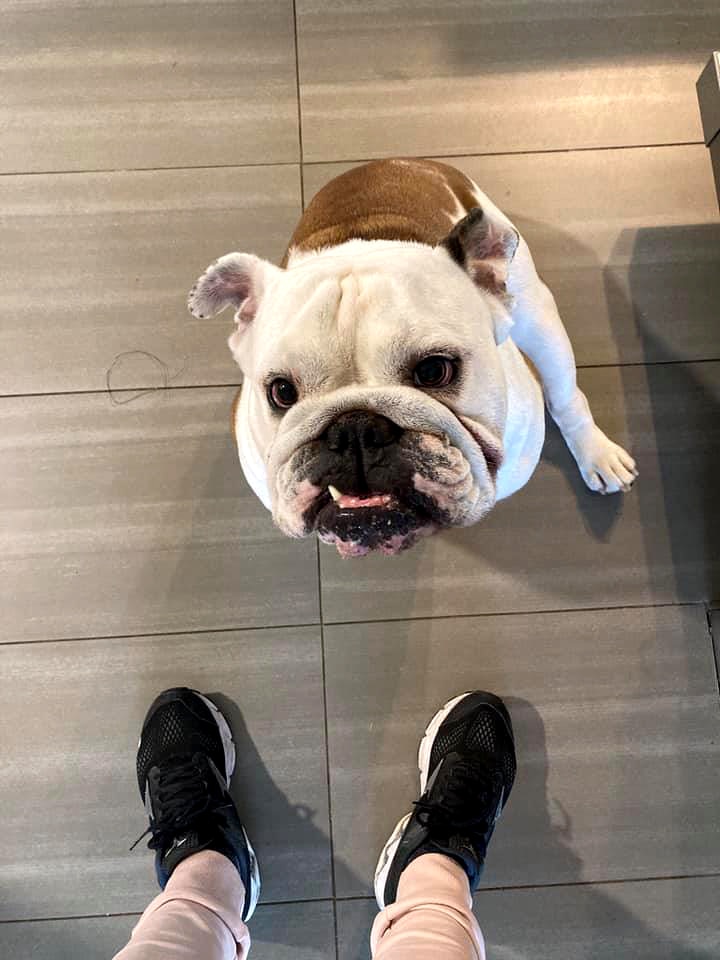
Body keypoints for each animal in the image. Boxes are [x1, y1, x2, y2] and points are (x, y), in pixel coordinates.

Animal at [190, 160, 636, 560]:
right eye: (281, 392)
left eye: (435, 370)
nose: (355, 428)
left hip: (540, 321)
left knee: (566, 395)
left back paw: (598, 455)